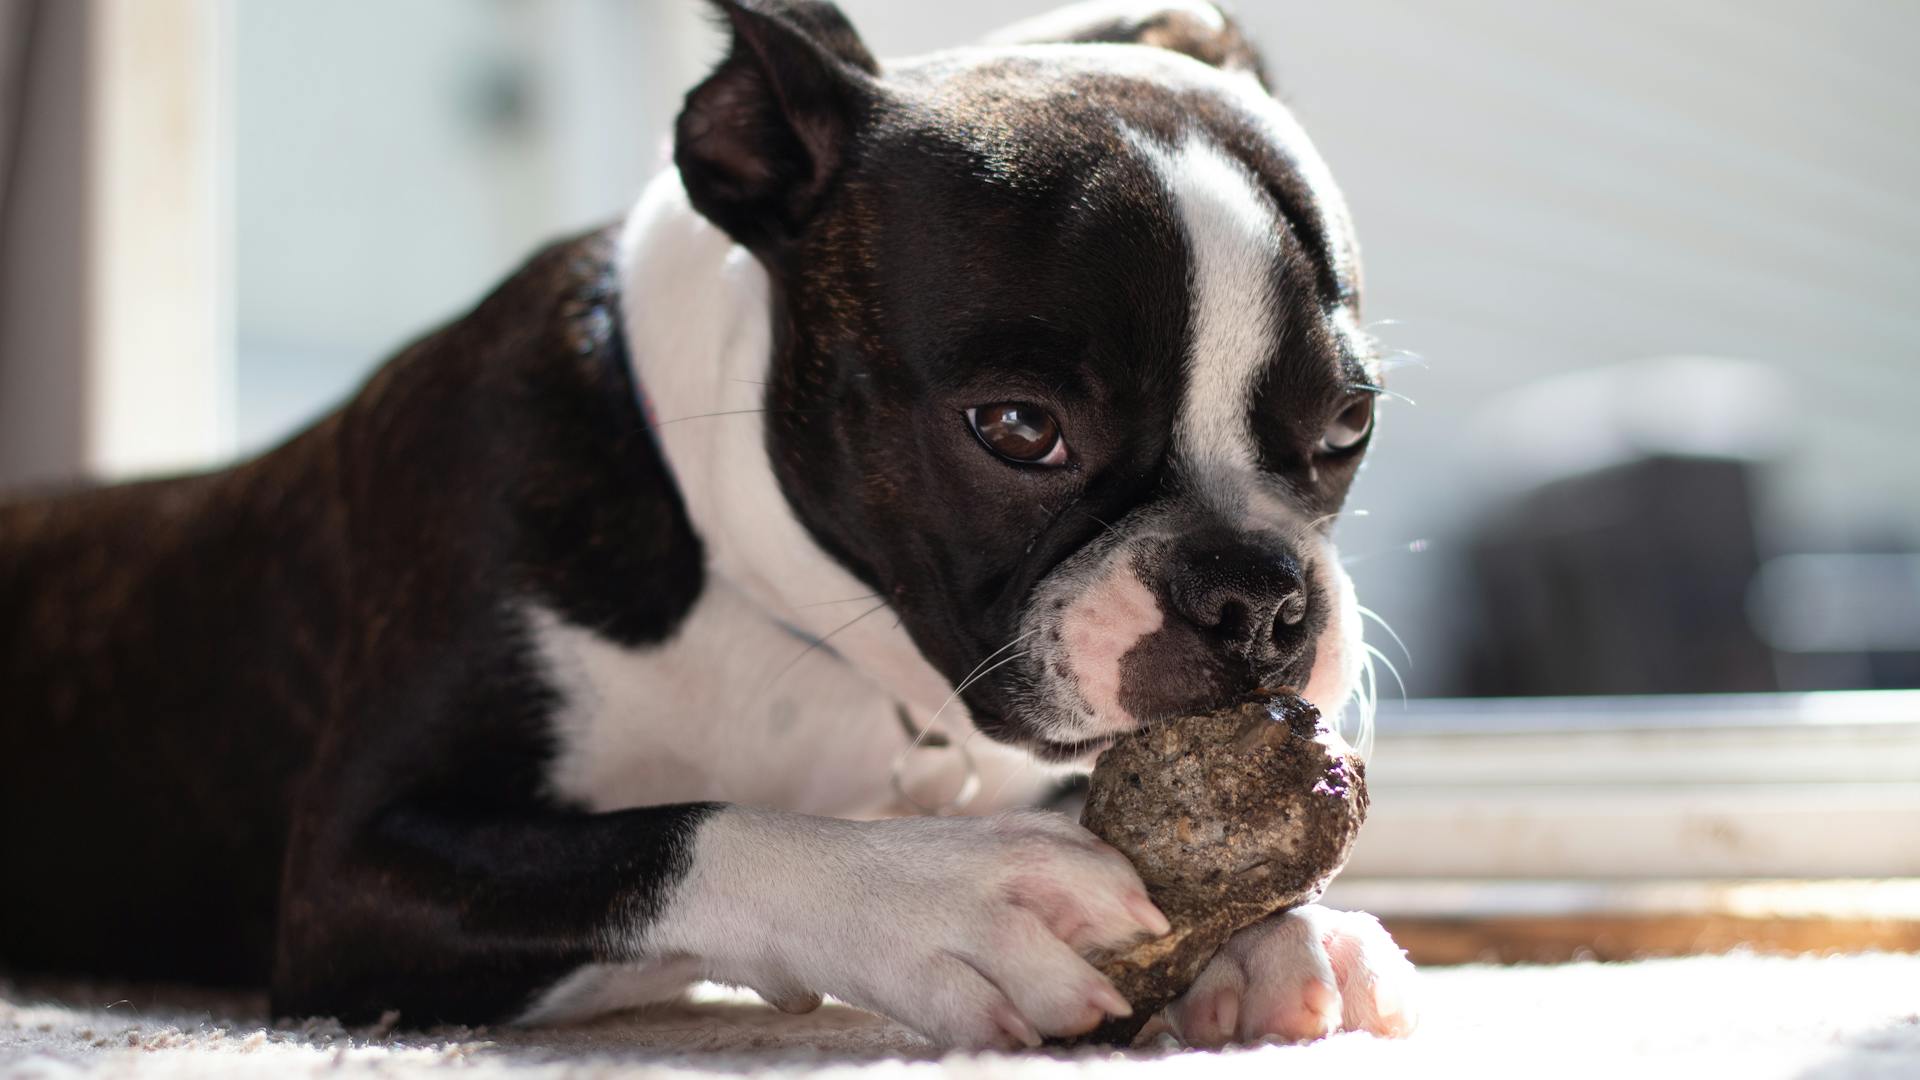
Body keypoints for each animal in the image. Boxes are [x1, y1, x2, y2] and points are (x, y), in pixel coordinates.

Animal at [0, 0, 1413, 1045]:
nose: (1257, 597)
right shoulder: (352, 878)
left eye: (1350, 425)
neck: (782, 604)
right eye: (1018, 428)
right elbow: (674, 835)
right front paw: (942, 898)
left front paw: (1281, 933)